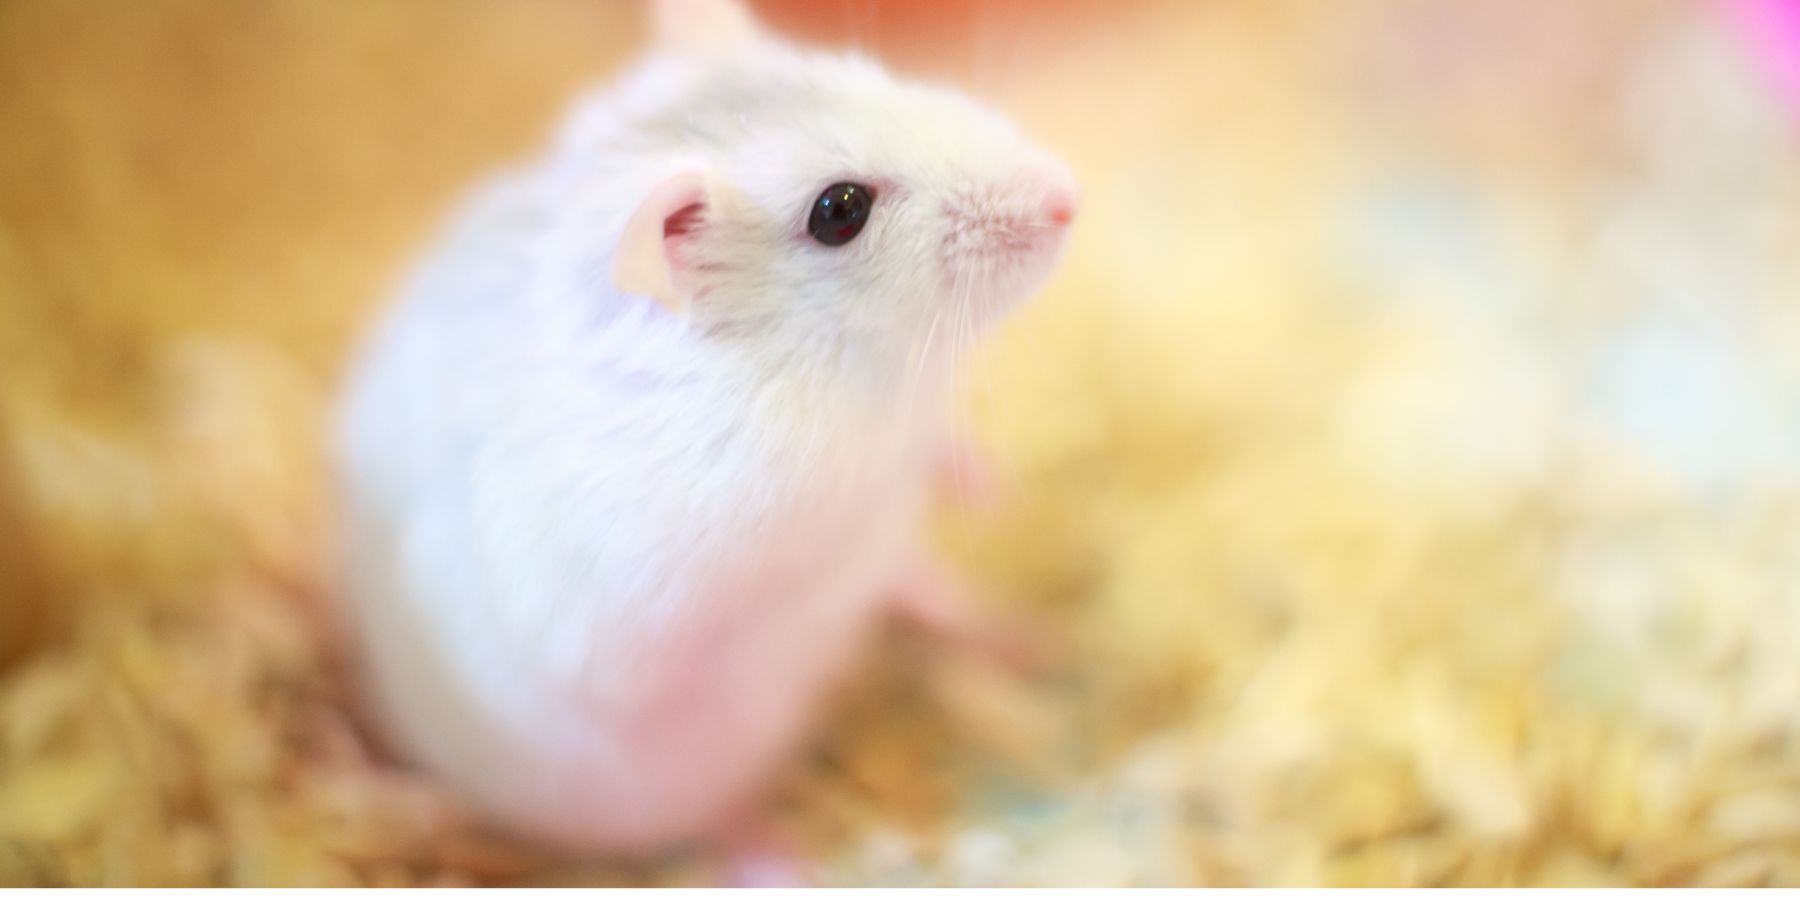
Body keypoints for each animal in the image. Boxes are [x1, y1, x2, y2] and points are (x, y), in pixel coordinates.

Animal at [333, 0, 1076, 858]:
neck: (848, 365)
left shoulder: (908, 436)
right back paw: (781, 853)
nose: (1069, 197)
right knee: (715, 820)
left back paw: (1014, 635)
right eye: (840, 211)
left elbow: (930, 463)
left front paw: (994, 496)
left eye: (875, 75)